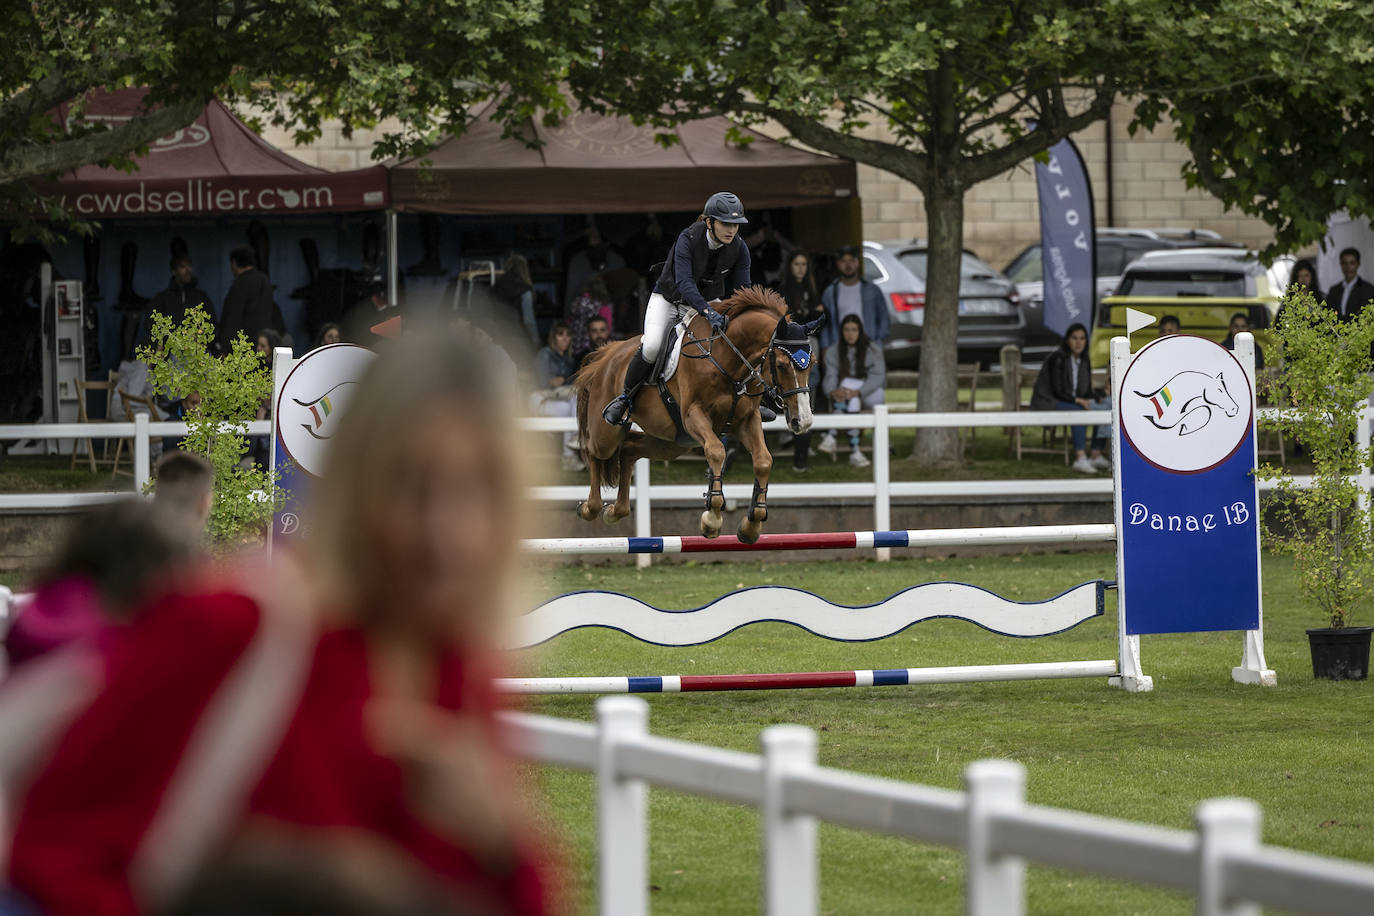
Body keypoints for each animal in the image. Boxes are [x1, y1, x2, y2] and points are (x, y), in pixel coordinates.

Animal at [574, 287, 818, 541]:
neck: (728, 359)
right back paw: (589, 507)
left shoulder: (747, 419)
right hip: (608, 432)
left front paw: (752, 525)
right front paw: (712, 518)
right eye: (781, 365)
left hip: (672, 443)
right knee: (594, 451)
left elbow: (763, 460)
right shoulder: (694, 416)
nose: (803, 421)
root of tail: (606, 355)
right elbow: (717, 452)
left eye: (812, 363)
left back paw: (615, 510)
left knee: (629, 450)